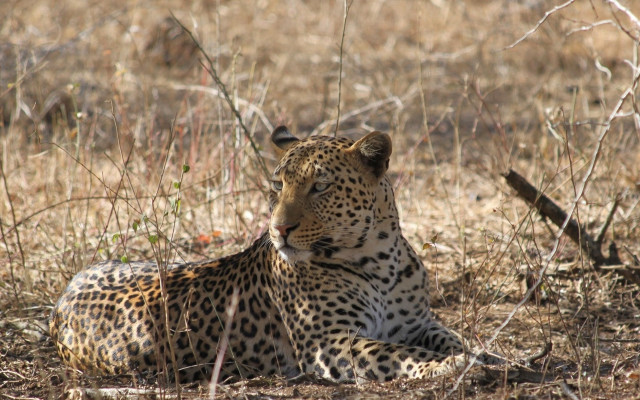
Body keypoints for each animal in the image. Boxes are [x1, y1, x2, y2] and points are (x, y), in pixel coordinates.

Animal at [50, 126, 496, 384]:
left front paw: (486, 355)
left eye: (320, 187)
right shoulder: (329, 343)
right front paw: (449, 366)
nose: (278, 229)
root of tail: (64, 296)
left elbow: (450, 337)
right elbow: (398, 353)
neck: (380, 259)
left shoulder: (417, 323)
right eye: (278, 184)